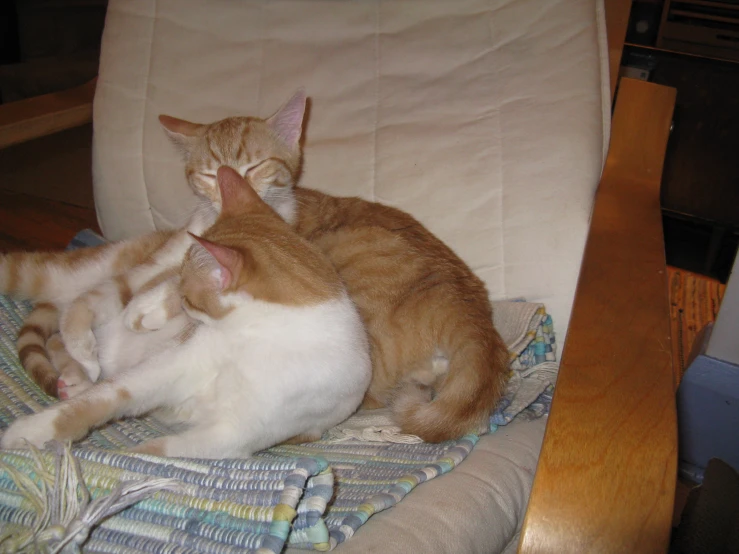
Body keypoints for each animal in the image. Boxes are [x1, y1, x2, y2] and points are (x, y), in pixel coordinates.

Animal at [0, 168, 370, 458]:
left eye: (190, 293)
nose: (180, 293)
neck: (256, 340)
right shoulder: (165, 367)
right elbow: (100, 399)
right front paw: (32, 431)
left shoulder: (231, 436)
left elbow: (152, 454)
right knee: (72, 314)